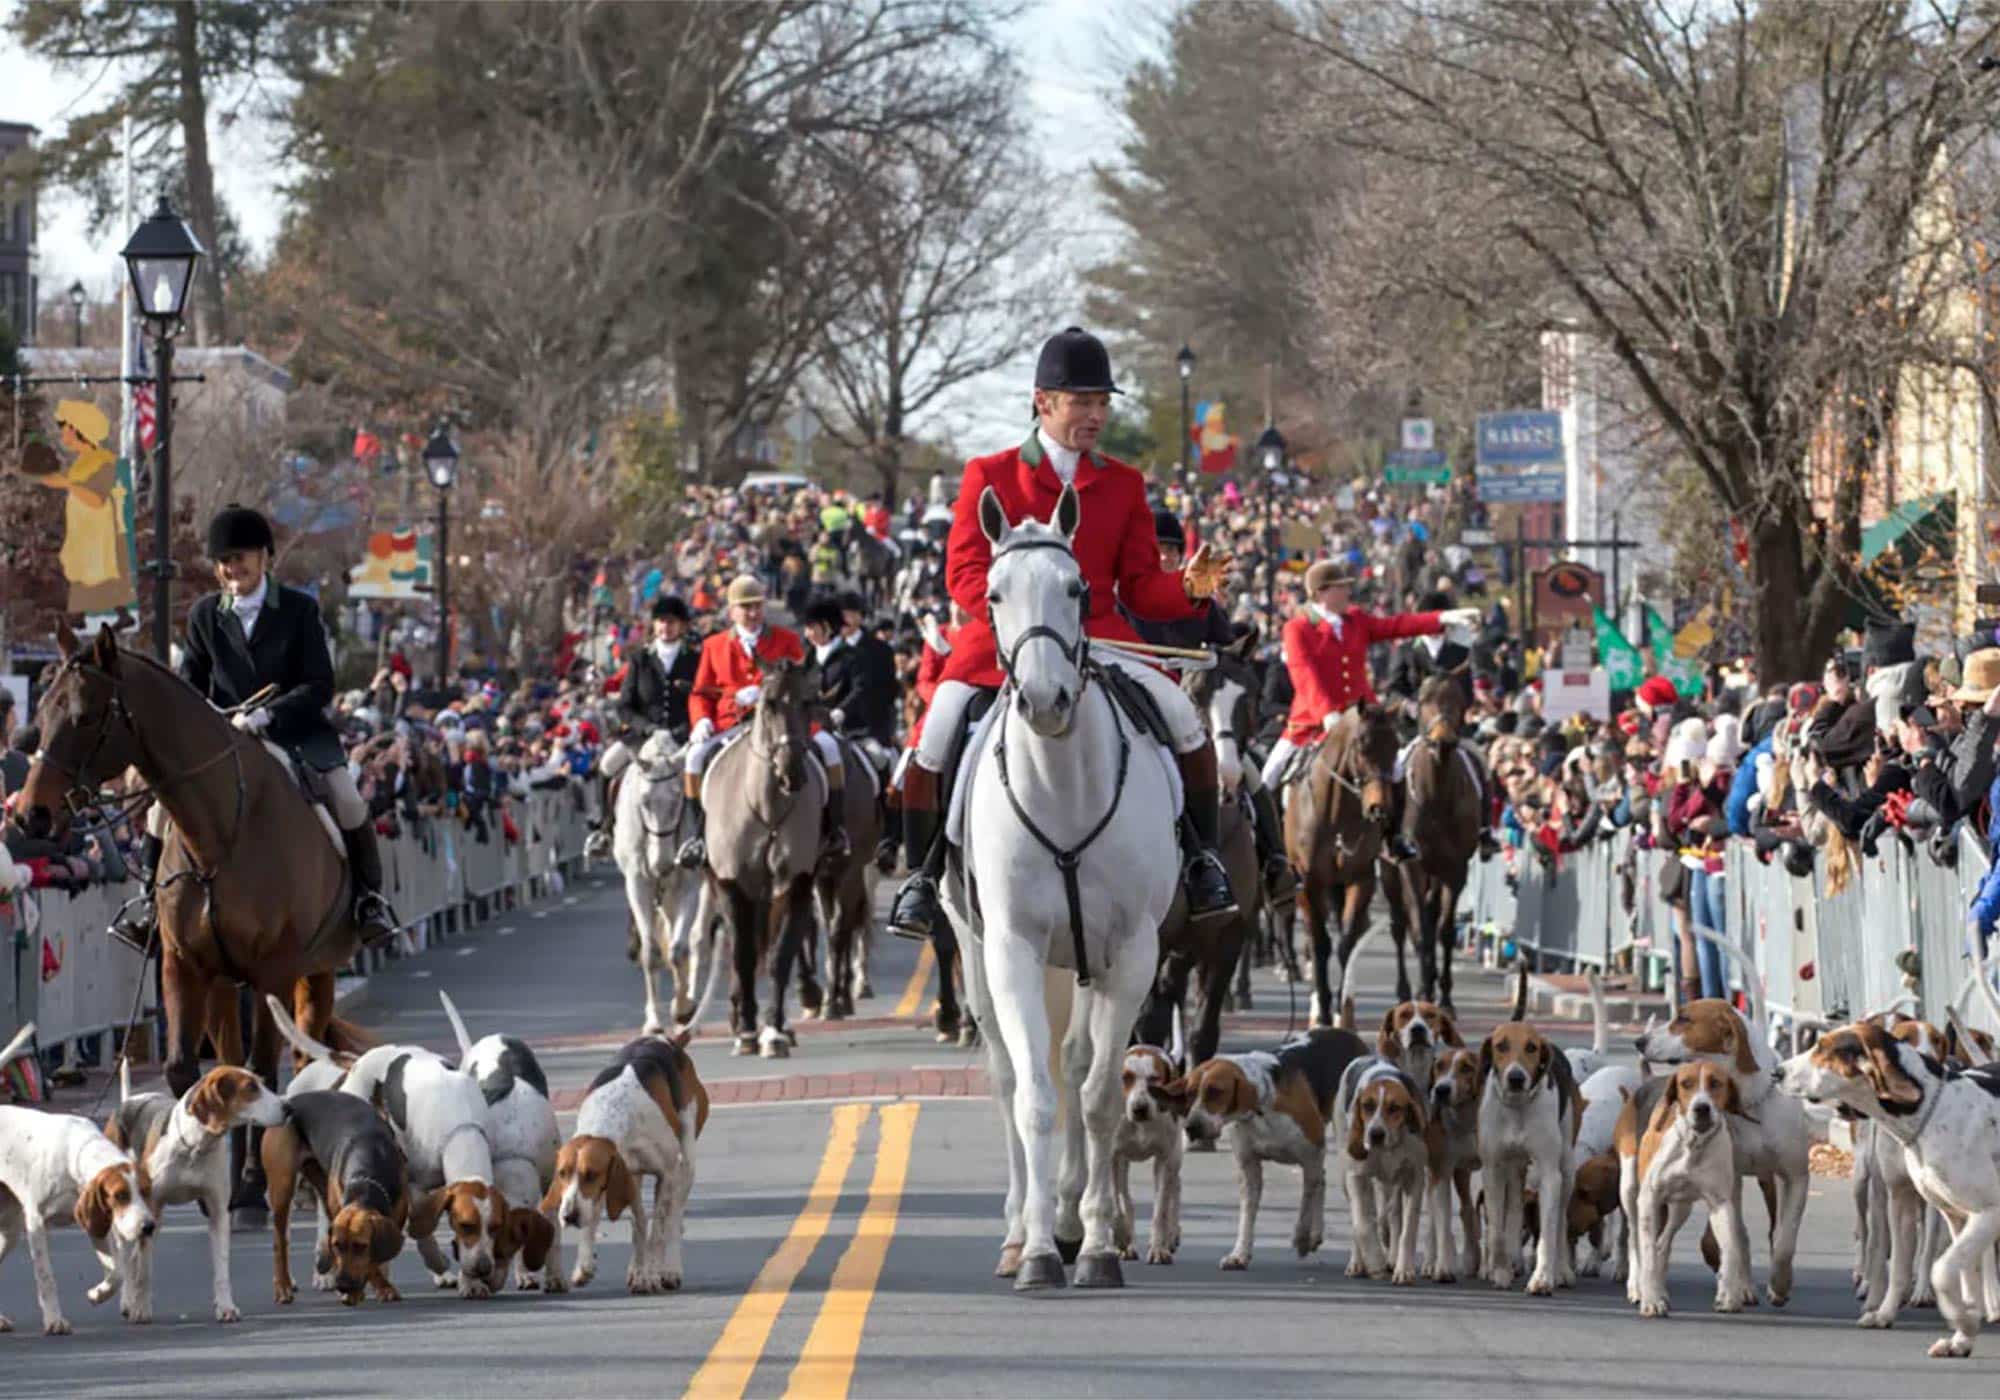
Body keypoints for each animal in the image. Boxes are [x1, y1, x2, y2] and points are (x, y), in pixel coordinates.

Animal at [16, 624, 372, 1216]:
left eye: (85, 716)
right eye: (39, 713)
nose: (28, 815)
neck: (220, 832)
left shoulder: (274, 972)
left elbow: (262, 1068)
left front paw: (250, 1184)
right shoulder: (184, 966)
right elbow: (188, 1070)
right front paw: (196, 1164)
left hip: (315, 970)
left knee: (303, 1056)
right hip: (225, 983)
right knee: (229, 1055)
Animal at [620, 728, 708, 1032]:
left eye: (678, 798)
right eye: (644, 802)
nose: (663, 862)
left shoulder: (690, 886)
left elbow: (679, 949)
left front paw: (682, 1008)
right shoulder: (638, 885)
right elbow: (651, 952)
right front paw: (654, 1021)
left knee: (689, 940)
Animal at [944, 486, 1176, 1296]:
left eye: (1078, 590)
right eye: (992, 593)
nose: (1046, 701)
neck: (1061, 784)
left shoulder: (1131, 953)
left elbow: (1099, 1098)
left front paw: (1096, 1243)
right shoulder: (1012, 948)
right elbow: (1036, 1098)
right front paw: (1040, 1250)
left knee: (1074, 1064)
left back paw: (1074, 1218)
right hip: (980, 952)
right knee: (1016, 1075)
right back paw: (1023, 1229)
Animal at [1280, 704, 1392, 1032]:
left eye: (1395, 746)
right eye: (1362, 745)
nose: (1379, 809)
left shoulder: (1360, 879)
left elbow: (1346, 943)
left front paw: (1343, 1013)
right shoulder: (1308, 882)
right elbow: (1320, 944)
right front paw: (1324, 1016)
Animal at [1392, 672, 1488, 1012]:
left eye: (1459, 699)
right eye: (1423, 700)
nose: (1442, 742)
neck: (1437, 792)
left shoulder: (1455, 868)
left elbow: (1444, 930)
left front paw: (1444, 996)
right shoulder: (1412, 867)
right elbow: (1420, 930)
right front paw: (1423, 991)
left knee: (1432, 916)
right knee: (1401, 926)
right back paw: (1407, 989)